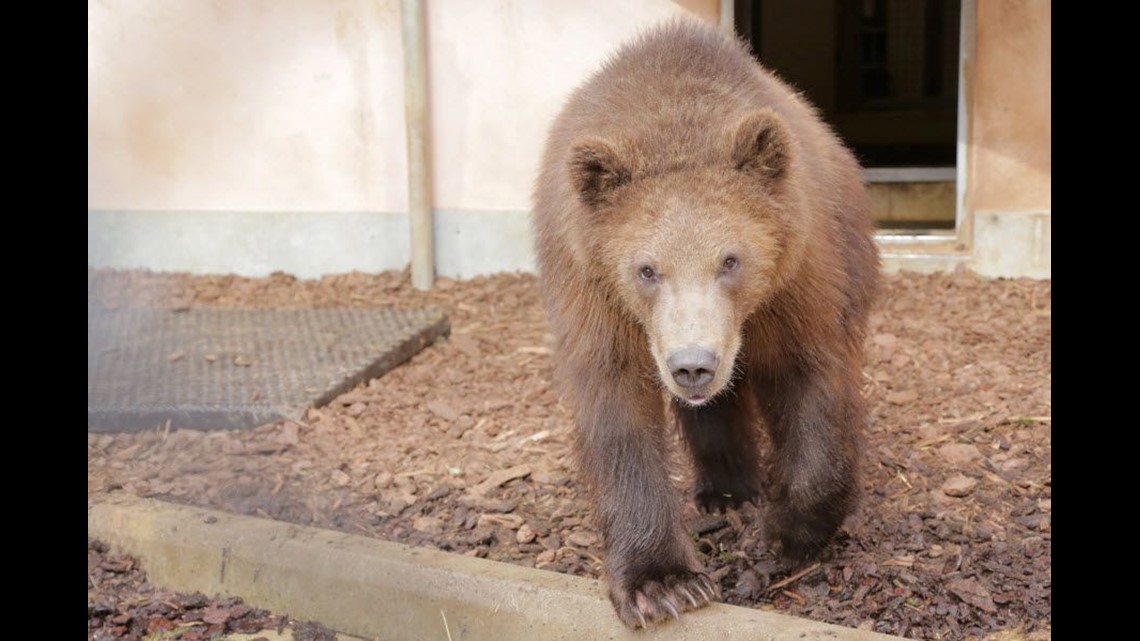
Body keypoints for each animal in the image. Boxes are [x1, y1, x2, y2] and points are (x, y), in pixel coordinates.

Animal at [531, 17, 880, 625]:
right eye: (647, 269)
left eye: (731, 260)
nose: (693, 365)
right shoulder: (594, 292)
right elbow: (618, 410)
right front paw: (662, 583)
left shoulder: (798, 280)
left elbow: (811, 382)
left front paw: (787, 532)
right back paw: (725, 489)